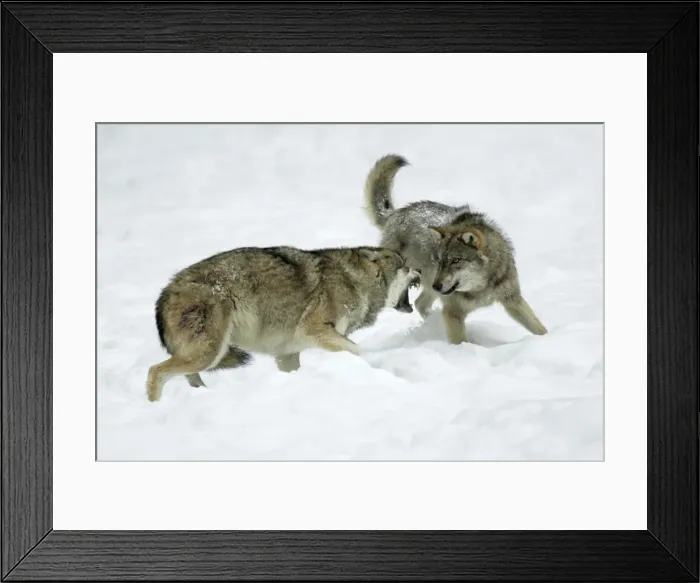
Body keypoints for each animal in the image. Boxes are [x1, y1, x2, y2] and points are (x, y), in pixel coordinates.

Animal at [147, 244, 418, 401]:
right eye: (405, 266)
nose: (421, 272)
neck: (355, 281)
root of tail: (166, 291)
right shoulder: (315, 330)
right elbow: (358, 350)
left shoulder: (287, 354)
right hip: (209, 352)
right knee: (155, 372)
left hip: (208, 356)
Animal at [363, 154, 548, 345]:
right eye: (439, 260)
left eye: (455, 260)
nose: (437, 285)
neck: (480, 289)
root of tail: (395, 214)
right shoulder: (453, 312)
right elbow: (460, 341)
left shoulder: (513, 300)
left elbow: (538, 327)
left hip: (431, 289)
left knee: (420, 304)